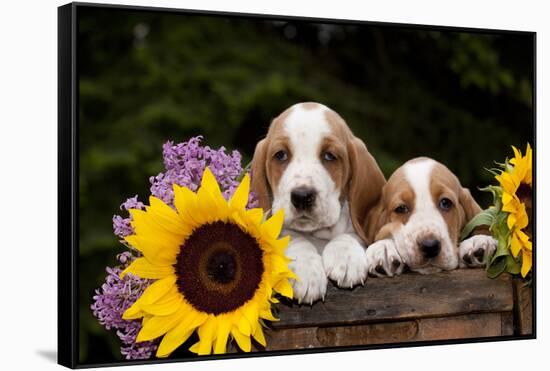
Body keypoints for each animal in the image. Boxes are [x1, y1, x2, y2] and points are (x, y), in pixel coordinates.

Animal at [252, 101, 386, 306]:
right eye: (281, 155)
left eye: (329, 156)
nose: (301, 196)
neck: (318, 234)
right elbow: (294, 237)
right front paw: (305, 269)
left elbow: (350, 233)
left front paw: (346, 256)